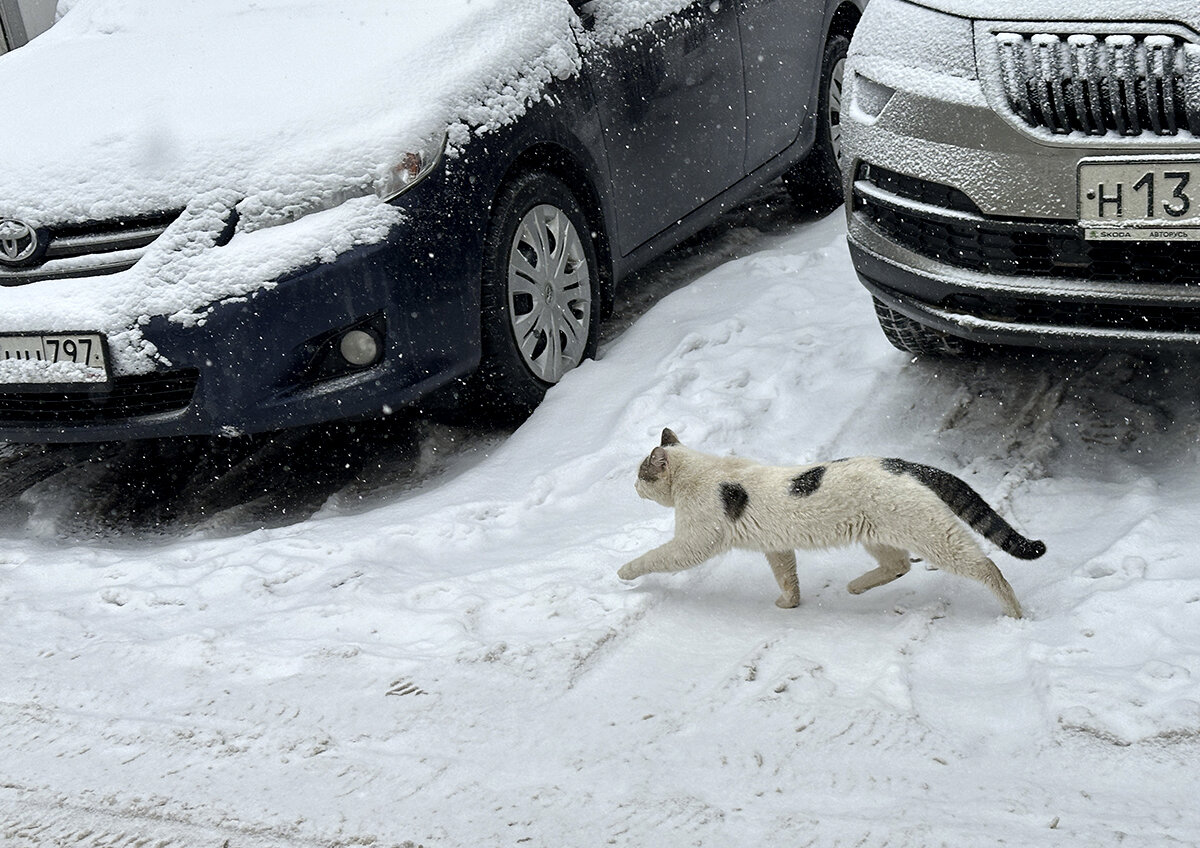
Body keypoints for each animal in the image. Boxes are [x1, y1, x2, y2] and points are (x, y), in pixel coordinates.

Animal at [614, 431, 1046, 618]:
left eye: (640, 473)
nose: (631, 485)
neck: (703, 472)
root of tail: (905, 464)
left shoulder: (693, 542)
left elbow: (654, 557)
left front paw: (623, 572)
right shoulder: (777, 547)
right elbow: (787, 577)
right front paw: (789, 604)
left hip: (933, 535)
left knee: (988, 568)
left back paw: (1015, 613)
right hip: (878, 535)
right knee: (899, 565)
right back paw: (855, 587)